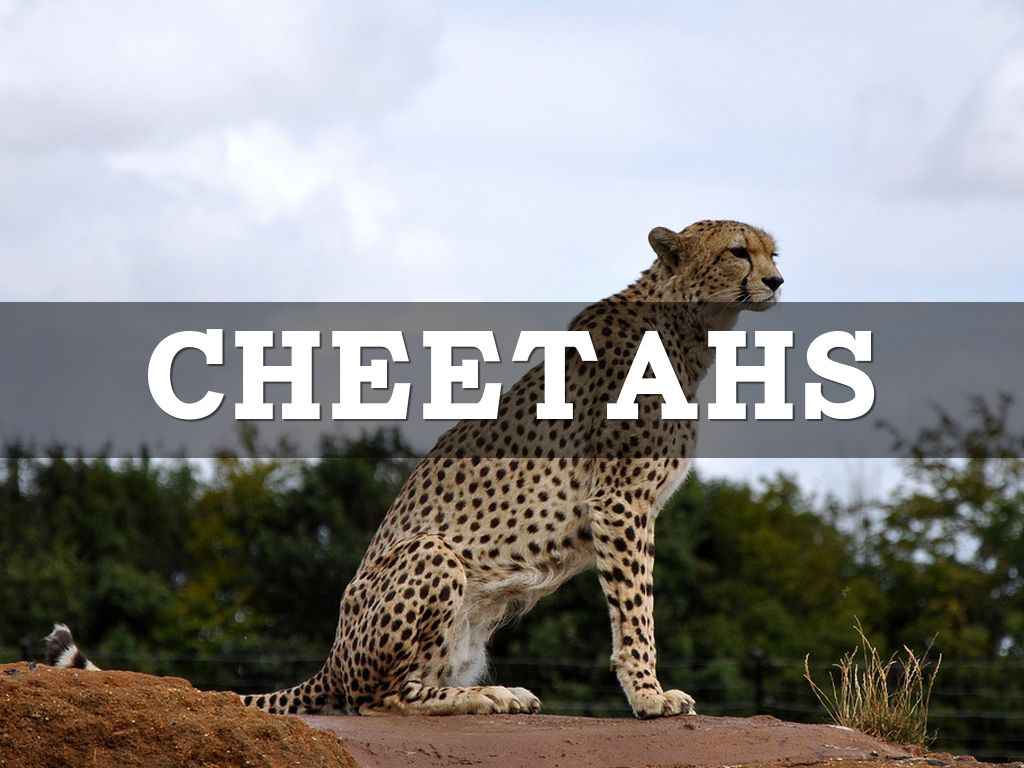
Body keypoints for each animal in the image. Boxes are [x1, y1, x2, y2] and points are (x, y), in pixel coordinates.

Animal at [50, 219, 782, 719]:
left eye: (773, 250)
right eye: (738, 251)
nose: (777, 281)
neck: (692, 329)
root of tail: (331, 658)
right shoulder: (620, 502)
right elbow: (635, 610)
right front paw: (650, 697)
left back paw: (493, 691)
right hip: (432, 554)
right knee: (377, 697)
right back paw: (479, 699)